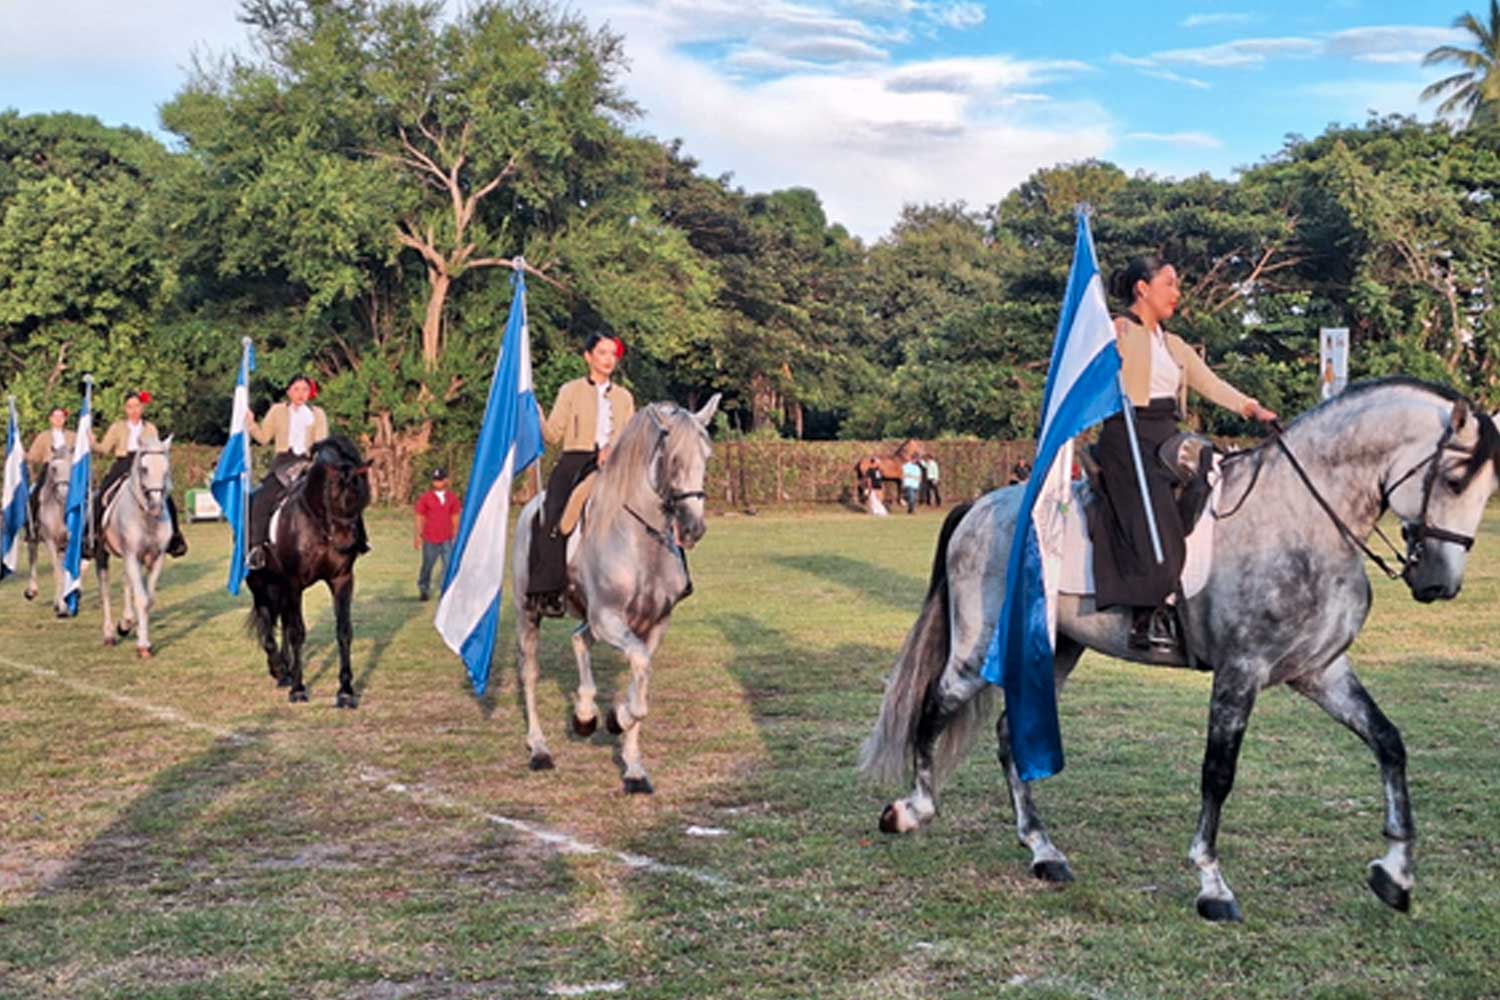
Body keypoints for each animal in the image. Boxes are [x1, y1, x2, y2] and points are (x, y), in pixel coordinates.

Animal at [24, 446, 73, 617]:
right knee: (33, 558)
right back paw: (31, 591)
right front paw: (62, 607)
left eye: (72, 465)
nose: (64, 493)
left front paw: (61, 604)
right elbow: (57, 573)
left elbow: (63, 571)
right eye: (54, 468)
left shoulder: (67, 542)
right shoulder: (50, 542)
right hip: (33, 538)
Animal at [96, 434, 174, 656]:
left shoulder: (155, 559)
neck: (146, 518)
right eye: (144, 469)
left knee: (127, 582)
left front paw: (136, 631)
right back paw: (109, 634)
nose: (156, 506)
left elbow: (148, 600)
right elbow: (141, 598)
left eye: (166, 469)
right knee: (105, 591)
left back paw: (127, 622)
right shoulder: (131, 555)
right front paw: (143, 646)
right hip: (103, 555)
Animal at [246, 437, 372, 710]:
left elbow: (343, 631)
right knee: (266, 617)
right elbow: (297, 632)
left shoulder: (342, 580)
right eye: (330, 492)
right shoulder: (294, 583)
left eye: (360, 494)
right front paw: (298, 689)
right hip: (258, 581)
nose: (345, 541)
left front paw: (345, 691)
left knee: (281, 620)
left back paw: (285, 670)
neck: (318, 523)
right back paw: (279, 669)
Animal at [510, 395, 720, 791]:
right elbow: (638, 673)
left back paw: (584, 715)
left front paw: (632, 764)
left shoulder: (652, 625)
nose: (693, 528)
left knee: (579, 639)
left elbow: (642, 680)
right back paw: (539, 749)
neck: (640, 542)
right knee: (529, 673)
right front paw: (614, 719)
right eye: (673, 459)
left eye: (707, 455)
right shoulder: (608, 618)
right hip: (529, 613)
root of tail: (531, 506)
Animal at [864, 380, 1500, 923]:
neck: (1300, 518)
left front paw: (1396, 874)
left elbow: (1389, 743)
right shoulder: (1240, 672)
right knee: (934, 705)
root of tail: (981, 506)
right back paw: (913, 809)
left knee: (1007, 733)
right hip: (979, 651)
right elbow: (1217, 773)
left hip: (1056, 649)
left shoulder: (1319, 672)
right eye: (1454, 479)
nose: (1439, 584)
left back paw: (1042, 850)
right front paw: (1212, 885)